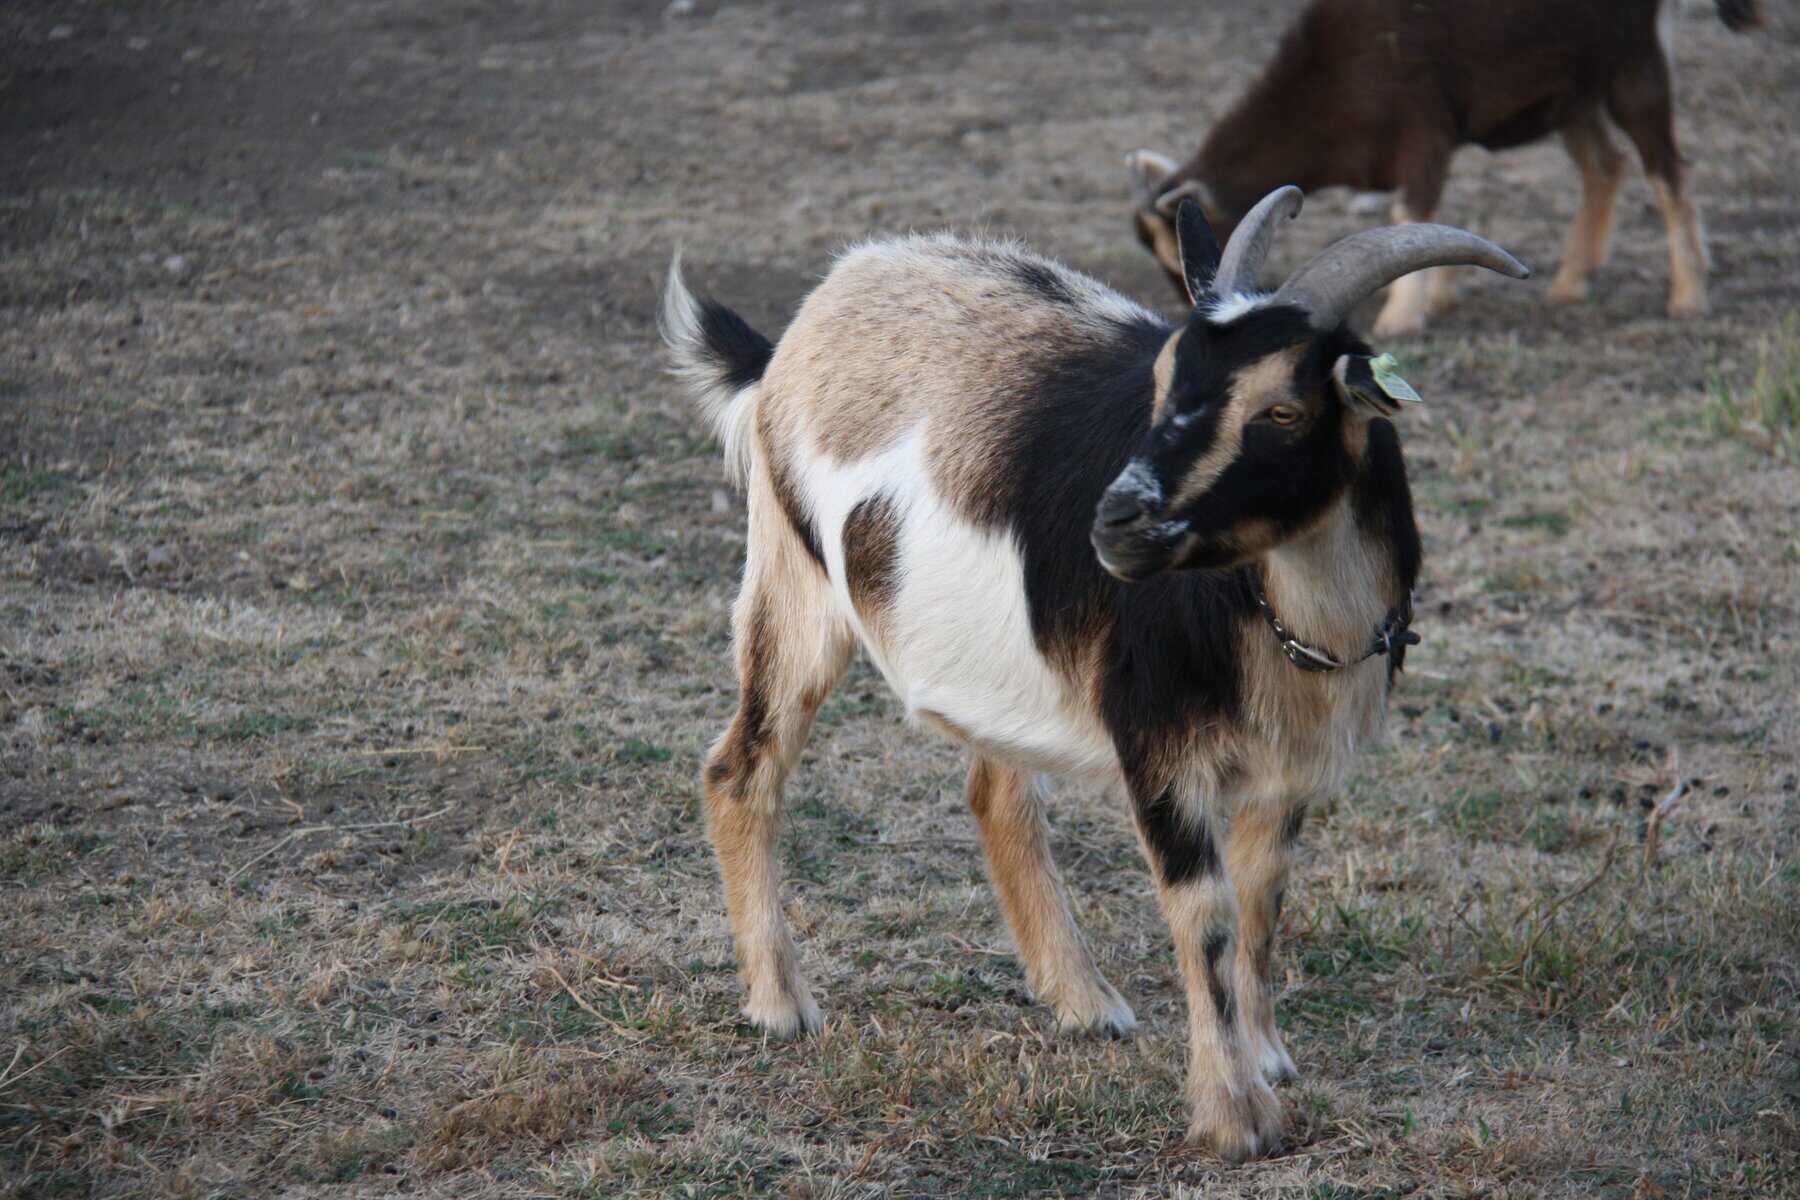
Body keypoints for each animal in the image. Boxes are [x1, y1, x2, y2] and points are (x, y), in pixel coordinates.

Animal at [662, 192, 1527, 1159]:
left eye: (1282, 410)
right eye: (1164, 381)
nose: (1118, 522)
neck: (1291, 615)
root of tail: (807, 323)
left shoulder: (1289, 766)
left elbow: (1261, 903)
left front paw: (1266, 1059)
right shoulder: (1154, 745)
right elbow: (1206, 912)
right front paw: (1234, 1116)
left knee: (994, 793)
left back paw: (1081, 1001)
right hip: (793, 579)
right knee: (742, 767)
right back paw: (781, 1006)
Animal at [1127, 0, 1764, 335]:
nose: (1191, 315)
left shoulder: (1420, 128)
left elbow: (1412, 208)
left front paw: (1400, 317)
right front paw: (1436, 297)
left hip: (1631, 66)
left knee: (1667, 172)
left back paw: (1688, 294)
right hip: (1571, 90)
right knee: (1604, 166)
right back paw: (1569, 282)